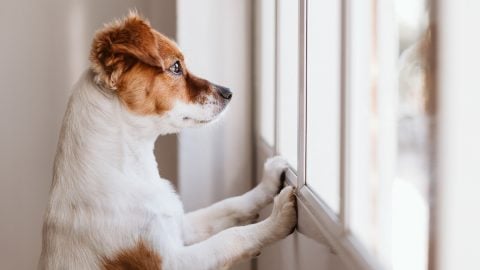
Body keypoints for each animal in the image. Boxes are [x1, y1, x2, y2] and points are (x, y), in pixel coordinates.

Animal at [39, 11, 298, 268]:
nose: (229, 93)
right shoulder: (172, 261)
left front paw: (268, 181)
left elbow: (228, 205)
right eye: (175, 67)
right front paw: (278, 218)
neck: (132, 170)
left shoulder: (179, 226)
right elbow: (231, 238)